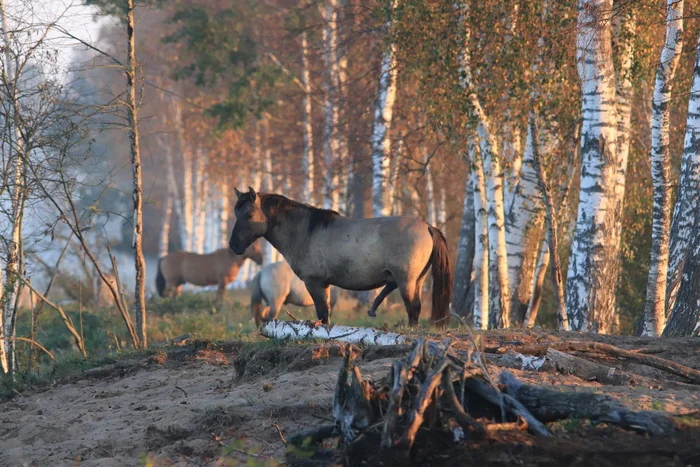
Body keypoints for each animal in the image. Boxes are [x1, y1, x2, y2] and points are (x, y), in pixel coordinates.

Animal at [227, 188, 452, 328]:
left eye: (249, 215)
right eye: (236, 213)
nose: (233, 246)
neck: (306, 232)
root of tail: (427, 226)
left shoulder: (315, 283)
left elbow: (322, 313)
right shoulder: (324, 285)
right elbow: (325, 314)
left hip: (407, 281)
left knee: (413, 308)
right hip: (417, 280)